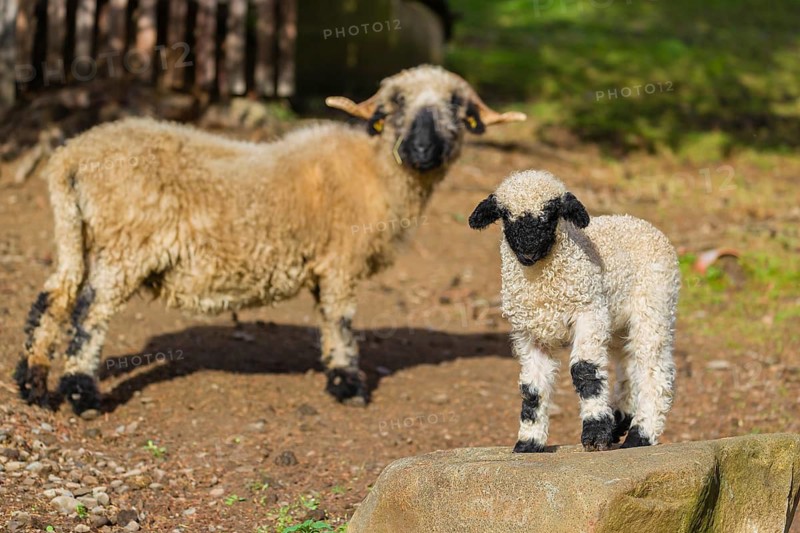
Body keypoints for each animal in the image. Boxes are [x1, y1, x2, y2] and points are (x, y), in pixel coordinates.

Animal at [16, 65, 526, 415]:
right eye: (393, 107)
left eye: (457, 108)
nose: (422, 150)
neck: (375, 171)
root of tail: (71, 155)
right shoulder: (340, 260)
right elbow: (341, 320)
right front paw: (348, 384)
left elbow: (327, 319)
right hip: (126, 242)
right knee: (89, 311)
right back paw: (81, 393)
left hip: (78, 232)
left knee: (53, 297)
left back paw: (33, 386)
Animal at [469, 170, 679, 452]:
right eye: (505, 215)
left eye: (552, 213)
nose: (528, 249)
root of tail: (640, 222)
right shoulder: (530, 333)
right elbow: (532, 388)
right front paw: (529, 442)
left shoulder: (588, 313)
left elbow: (585, 371)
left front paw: (595, 433)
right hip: (617, 321)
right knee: (628, 367)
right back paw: (620, 421)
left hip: (654, 305)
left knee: (654, 370)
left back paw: (640, 435)